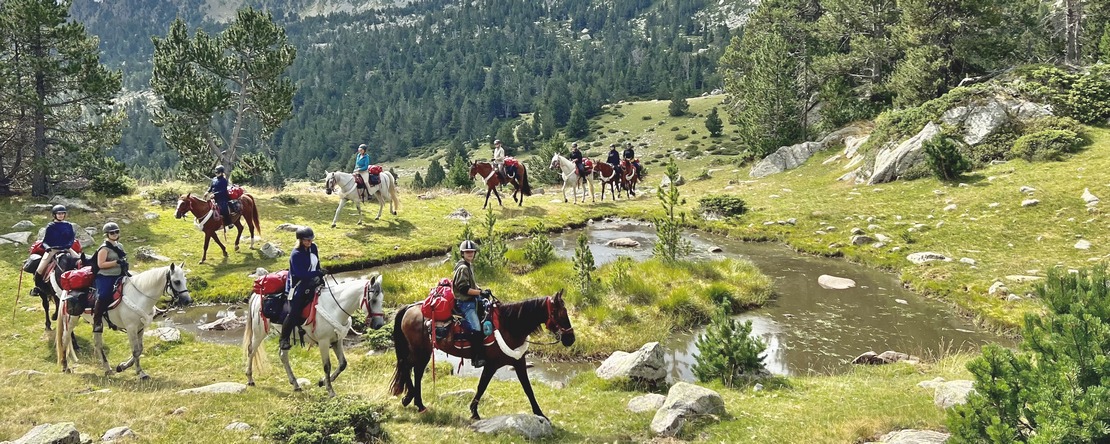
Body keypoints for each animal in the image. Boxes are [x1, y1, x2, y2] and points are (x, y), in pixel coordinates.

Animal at [55, 263, 191, 379]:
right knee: (65, 339)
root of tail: (67, 290)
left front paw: (123, 367)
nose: (188, 301)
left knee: (97, 344)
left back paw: (107, 369)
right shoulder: (131, 328)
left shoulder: (140, 328)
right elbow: (135, 351)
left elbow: (140, 349)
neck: (139, 296)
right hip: (72, 319)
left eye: (185, 280)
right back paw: (65, 366)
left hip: (96, 323)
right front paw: (139, 372)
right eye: (177, 281)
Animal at [243, 274, 386, 397]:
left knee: (283, 355)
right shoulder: (323, 342)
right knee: (251, 350)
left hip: (286, 336)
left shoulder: (337, 340)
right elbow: (327, 366)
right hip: (259, 332)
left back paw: (295, 384)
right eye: (373, 300)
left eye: (381, 300)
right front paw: (330, 390)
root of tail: (256, 295)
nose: (379, 325)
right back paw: (250, 379)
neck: (334, 307)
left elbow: (342, 364)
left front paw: (322, 382)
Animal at [390, 290, 575, 420]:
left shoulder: (518, 361)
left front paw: (540, 414)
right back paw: (413, 401)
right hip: (419, 350)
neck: (509, 326)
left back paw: (415, 401)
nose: (571, 339)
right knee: (407, 366)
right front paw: (474, 412)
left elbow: (528, 389)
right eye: (560, 313)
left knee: (415, 370)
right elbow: (482, 386)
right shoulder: (491, 364)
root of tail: (410, 308)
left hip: (424, 351)